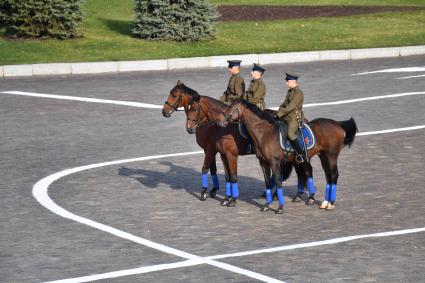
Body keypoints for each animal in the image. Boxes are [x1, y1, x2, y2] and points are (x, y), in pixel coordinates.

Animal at [161, 81, 294, 207]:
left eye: (174, 95)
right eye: (187, 108)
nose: (164, 112)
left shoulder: (220, 152)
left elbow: (212, 170)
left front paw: (208, 193)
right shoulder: (219, 153)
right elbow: (224, 174)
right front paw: (224, 197)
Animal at [215, 100, 358, 213]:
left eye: (231, 108)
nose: (219, 121)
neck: (265, 133)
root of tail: (337, 124)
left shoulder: (275, 163)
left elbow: (278, 181)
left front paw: (280, 207)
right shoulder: (263, 163)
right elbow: (268, 182)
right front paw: (266, 205)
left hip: (331, 156)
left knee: (333, 175)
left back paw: (330, 203)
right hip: (322, 156)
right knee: (327, 176)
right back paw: (323, 202)